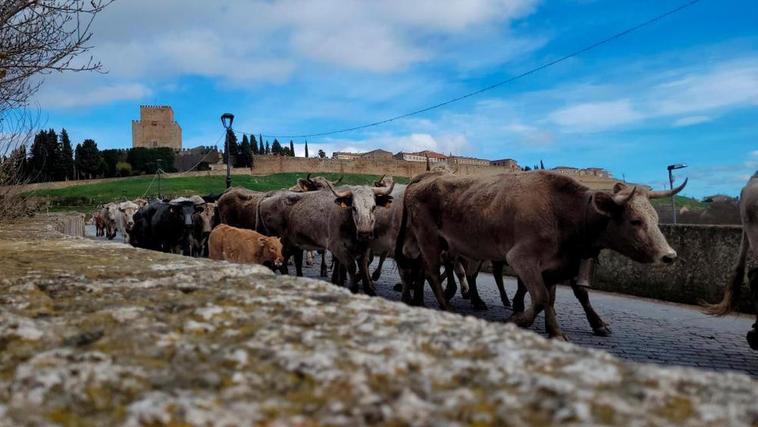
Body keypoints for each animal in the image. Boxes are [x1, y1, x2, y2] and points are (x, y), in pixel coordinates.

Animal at [400, 171, 684, 342]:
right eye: (635, 221)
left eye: (656, 218)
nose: (669, 256)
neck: (564, 212)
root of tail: (423, 181)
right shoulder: (521, 258)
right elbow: (540, 298)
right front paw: (516, 320)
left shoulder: (553, 266)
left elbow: (551, 299)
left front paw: (556, 332)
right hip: (429, 239)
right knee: (433, 272)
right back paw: (446, 307)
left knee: (424, 270)